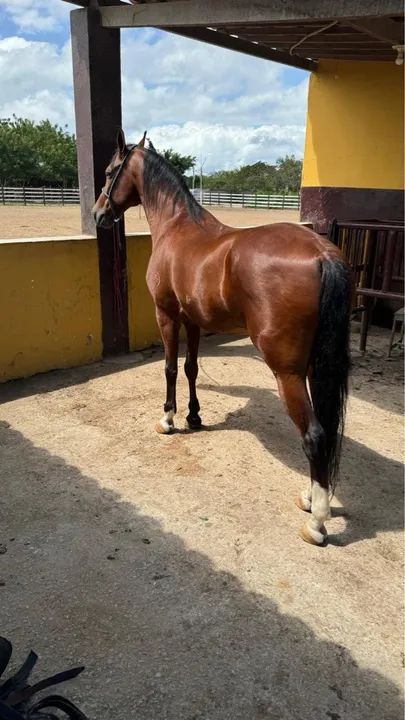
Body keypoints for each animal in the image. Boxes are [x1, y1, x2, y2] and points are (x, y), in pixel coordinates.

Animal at [93, 130, 352, 546]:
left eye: (108, 171)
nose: (98, 214)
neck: (177, 227)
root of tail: (321, 253)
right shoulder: (194, 321)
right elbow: (192, 369)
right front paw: (195, 415)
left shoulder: (167, 316)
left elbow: (169, 368)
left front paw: (169, 419)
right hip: (315, 366)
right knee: (325, 431)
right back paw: (311, 498)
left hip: (288, 373)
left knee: (313, 435)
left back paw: (317, 522)